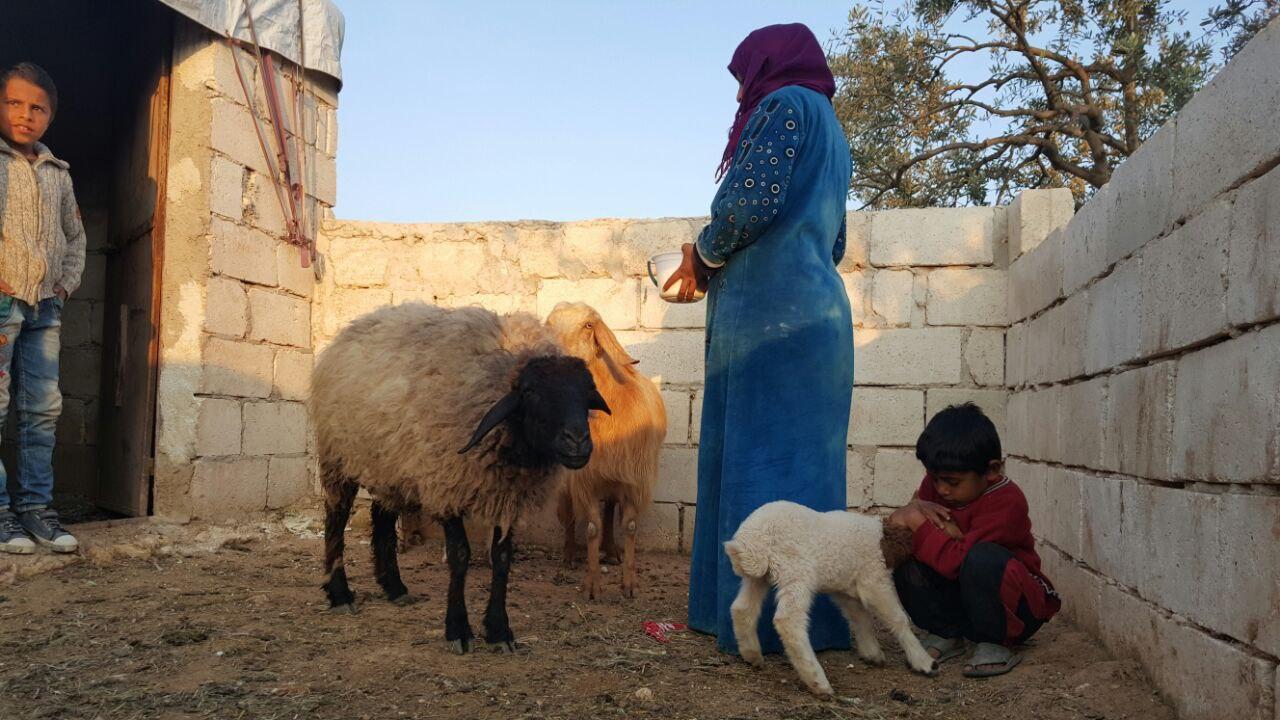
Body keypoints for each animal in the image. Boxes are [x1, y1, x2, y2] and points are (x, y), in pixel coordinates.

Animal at [309, 302, 609, 650]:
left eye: (587, 394)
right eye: (531, 392)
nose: (578, 442)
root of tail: (353, 328)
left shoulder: (506, 496)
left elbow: (502, 558)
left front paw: (499, 631)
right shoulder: (446, 486)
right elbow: (460, 556)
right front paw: (458, 629)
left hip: (390, 463)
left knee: (381, 516)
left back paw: (395, 588)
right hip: (339, 456)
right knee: (336, 519)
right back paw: (340, 594)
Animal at [540, 299, 665, 597]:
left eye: (588, 325)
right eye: (549, 324)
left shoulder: (635, 480)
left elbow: (628, 526)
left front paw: (629, 584)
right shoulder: (585, 479)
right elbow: (591, 528)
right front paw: (592, 585)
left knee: (609, 513)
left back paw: (611, 551)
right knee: (570, 516)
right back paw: (569, 555)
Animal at [721, 497, 942, 691]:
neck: (883, 536)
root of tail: (753, 541)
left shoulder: (845, 589)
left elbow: (860, 617)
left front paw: (872, 653)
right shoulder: (873, 580)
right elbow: (897, 618)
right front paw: (924, 661)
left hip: (759, 577)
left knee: (742, 608)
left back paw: (752, 655)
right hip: (797, 572)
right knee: (788, 621)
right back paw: (817, 681)